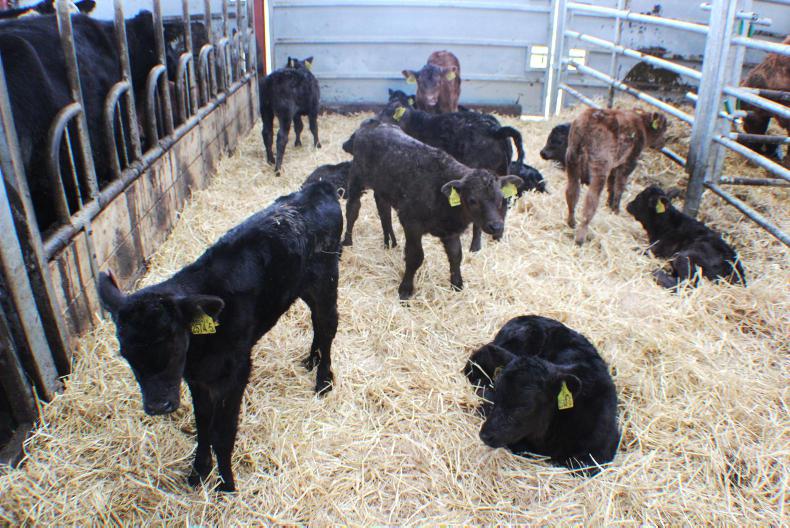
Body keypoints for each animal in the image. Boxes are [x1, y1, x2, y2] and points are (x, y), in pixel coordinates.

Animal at [97, 182, 342, 492]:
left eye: (175, 344)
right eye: (126, 354)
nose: (158, 406)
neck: (199, 350)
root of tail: (318, 188)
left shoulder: (236, 372)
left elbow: (222, 432)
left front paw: (226, 485)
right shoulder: (197, 379)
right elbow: (203, 424)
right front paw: (198, 472)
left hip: (326, 279)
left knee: (328, 324)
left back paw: (323, 380)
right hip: (303, 286)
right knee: (316, 323)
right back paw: (311, 360)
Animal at [341, 119, 522, 299]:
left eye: (501, 199)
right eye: (472, 200)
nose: (496, 226)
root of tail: (373, 123)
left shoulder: (450, 232)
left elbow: (456, 255)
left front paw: (457, 285)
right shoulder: (411, 223)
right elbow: (415, 256)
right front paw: (405, 290)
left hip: (382, 188)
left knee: (384, 211)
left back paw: (390, 242)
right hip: (356, 177)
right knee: (352, 210)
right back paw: (347, 241)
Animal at [378, 100, 526, 251]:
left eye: (385, 114)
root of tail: (495, 130)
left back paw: (475, 247)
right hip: (501, 176)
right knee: (503, 205)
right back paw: (497, 237)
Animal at [565, 108, 668, 245]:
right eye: (663, 129)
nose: (663, 144)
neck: (641, 125)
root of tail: (590, 118)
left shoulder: (615, 165)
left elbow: (611, 185)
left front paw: (609, 204)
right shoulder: (628, 163)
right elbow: (619, 187)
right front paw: (615, 210)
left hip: (572, 160)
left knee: (571, 193)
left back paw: (572, 222)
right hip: (600, 168)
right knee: (590, 202)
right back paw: (580, 238)